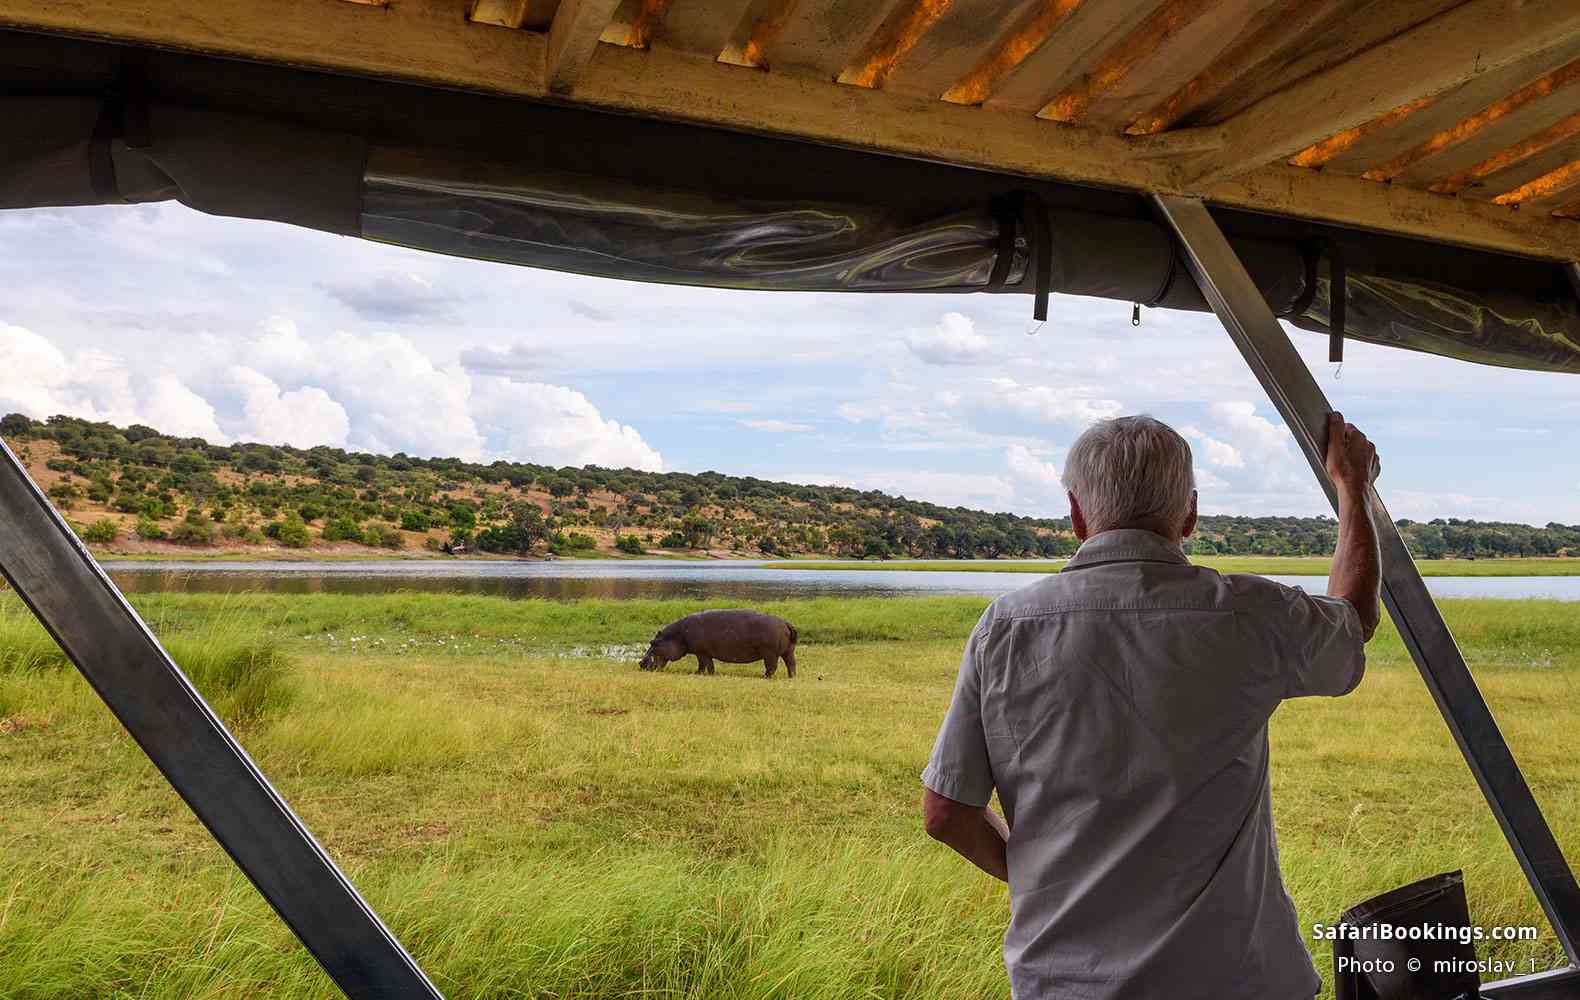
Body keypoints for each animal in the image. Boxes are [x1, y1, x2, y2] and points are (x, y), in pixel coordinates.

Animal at [638, 609, 799, 679]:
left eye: (653, 642)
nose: (640, 663)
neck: (677, 636)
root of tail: (786, 623)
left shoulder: (702, 652)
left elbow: (705, 665)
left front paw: (701, 674)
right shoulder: (703, 653)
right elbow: (706, 665)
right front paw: (700, 673)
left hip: (770, 654)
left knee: (772, 667)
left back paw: (764, 677)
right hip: (788, 652)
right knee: (791, 664)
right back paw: (791, 677)